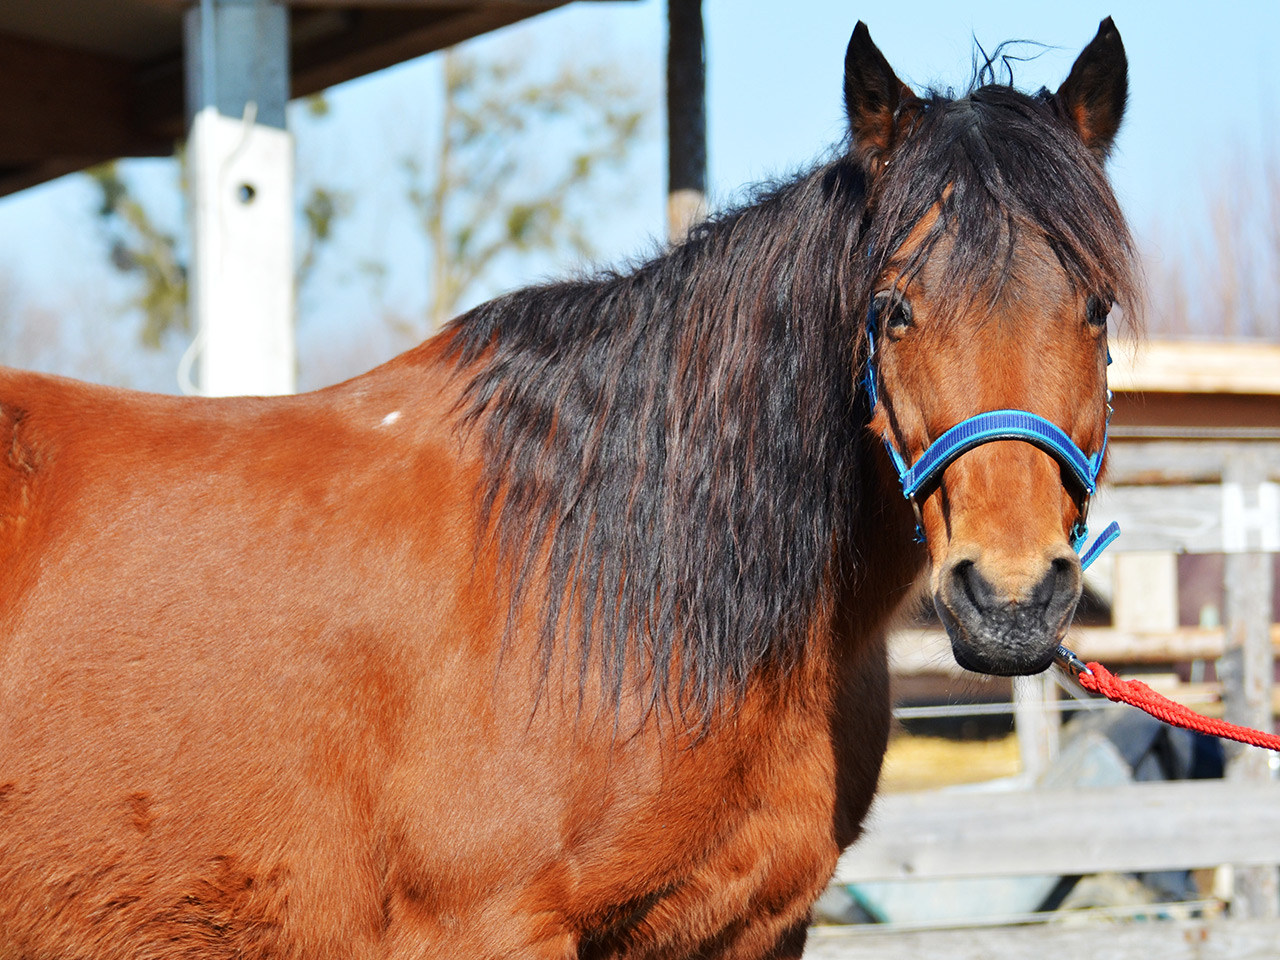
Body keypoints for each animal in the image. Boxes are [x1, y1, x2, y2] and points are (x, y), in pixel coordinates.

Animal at [0, 18, 1135, 960]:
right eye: (892, 310)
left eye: (1095, 308)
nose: (1010, 601)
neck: (624, 582)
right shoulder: (485, 928)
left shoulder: (749, 931)